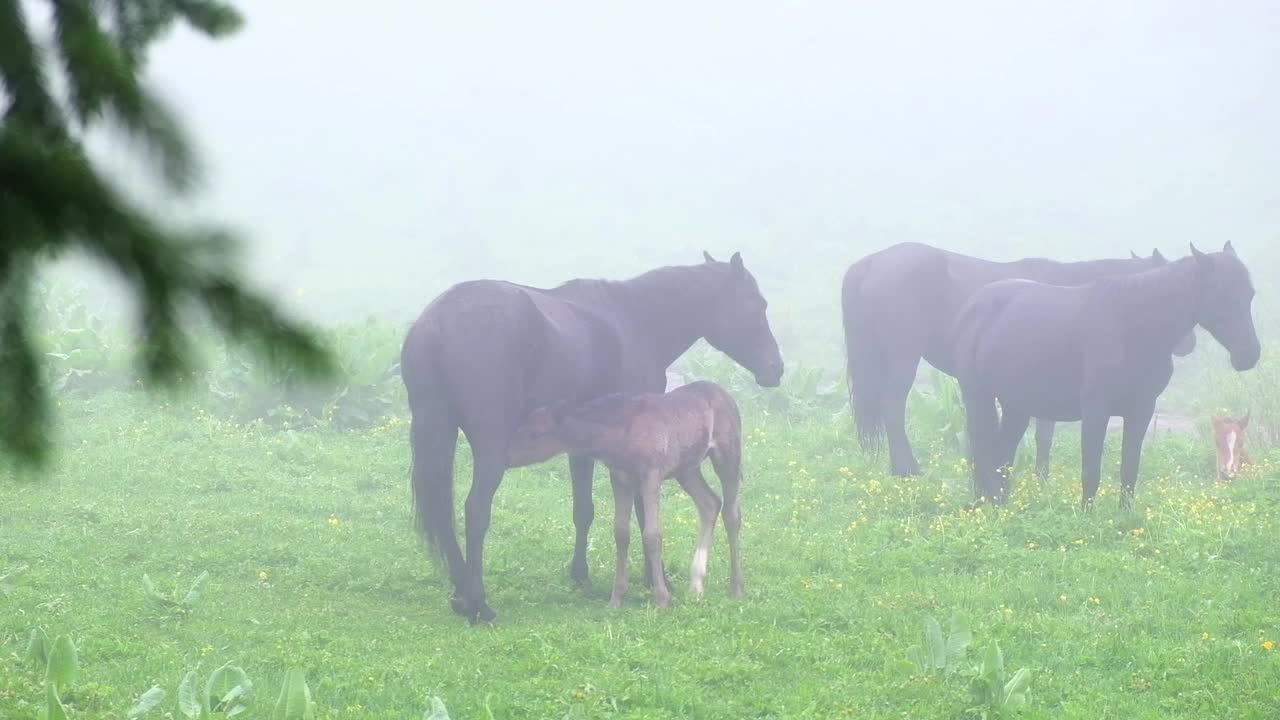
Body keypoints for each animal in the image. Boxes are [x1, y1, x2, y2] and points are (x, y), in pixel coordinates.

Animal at [514, 379, 747, 607]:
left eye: (534, 433)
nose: (508, 456)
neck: (622, 432)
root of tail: (725, 394)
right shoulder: (620, 480)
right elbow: (621, 533)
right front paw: (616, 598)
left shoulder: (651, 476)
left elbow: (652, 535)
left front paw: (662, 599)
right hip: (687, 470)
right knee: (710, 503)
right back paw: (696, 586)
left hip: (727, 457)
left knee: (731, 514)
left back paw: (736, 588)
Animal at [839, 242, 1187, 476]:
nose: (1186, 345)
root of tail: (869, 264)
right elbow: (1045, 433)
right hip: (903, 355)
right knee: (893, 405)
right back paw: (907, 468)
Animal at [952, 240, 1259, 504]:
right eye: (1221, 294)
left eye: (1250, 294)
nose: (1250, 355)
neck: (1129, 327)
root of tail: (973, 304)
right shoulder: (1095, 411)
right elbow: (1091, 473)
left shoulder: (1141, 410)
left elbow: (1129, 472)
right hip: (978, 397)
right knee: (984, 453)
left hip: (1016, 406)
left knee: (1001, 457)